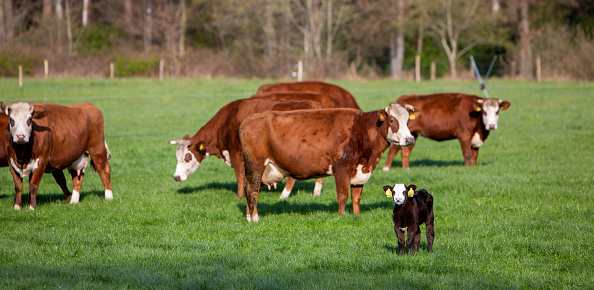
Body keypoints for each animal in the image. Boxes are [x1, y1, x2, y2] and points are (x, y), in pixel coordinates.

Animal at [169, 97, 322, 199]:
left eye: (188, 156)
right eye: (176, 156)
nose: (176, 177)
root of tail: (312, 103)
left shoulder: (235, 151)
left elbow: (240, 175)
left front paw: (240, 195)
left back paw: (283, 196)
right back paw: (316, 193)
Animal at [238, 102, 418, 222]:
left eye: (408, 121)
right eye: (393, 120)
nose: (409, 139)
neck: (360, 130)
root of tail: (247, 121)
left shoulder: (359, 171)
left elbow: (356, 197)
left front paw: (357, 215)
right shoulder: (341, 169)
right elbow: (343, 196)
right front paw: (341, 216)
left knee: (250, 189)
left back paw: (248, 217)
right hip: (255, 165)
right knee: (252, 190)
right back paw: (255, 218)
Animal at [382, 93, 512, 170]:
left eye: (497, 111)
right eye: (484, 111)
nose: (491, 125)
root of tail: (404, 98)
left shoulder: (477, 138)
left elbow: (475, 155)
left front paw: (473, 167)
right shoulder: (464, 134)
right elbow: (467, 154)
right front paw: (467, 168)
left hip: (412, 134)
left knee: (406, 151)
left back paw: (406, 168)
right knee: (393, 149)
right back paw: (386, 168)